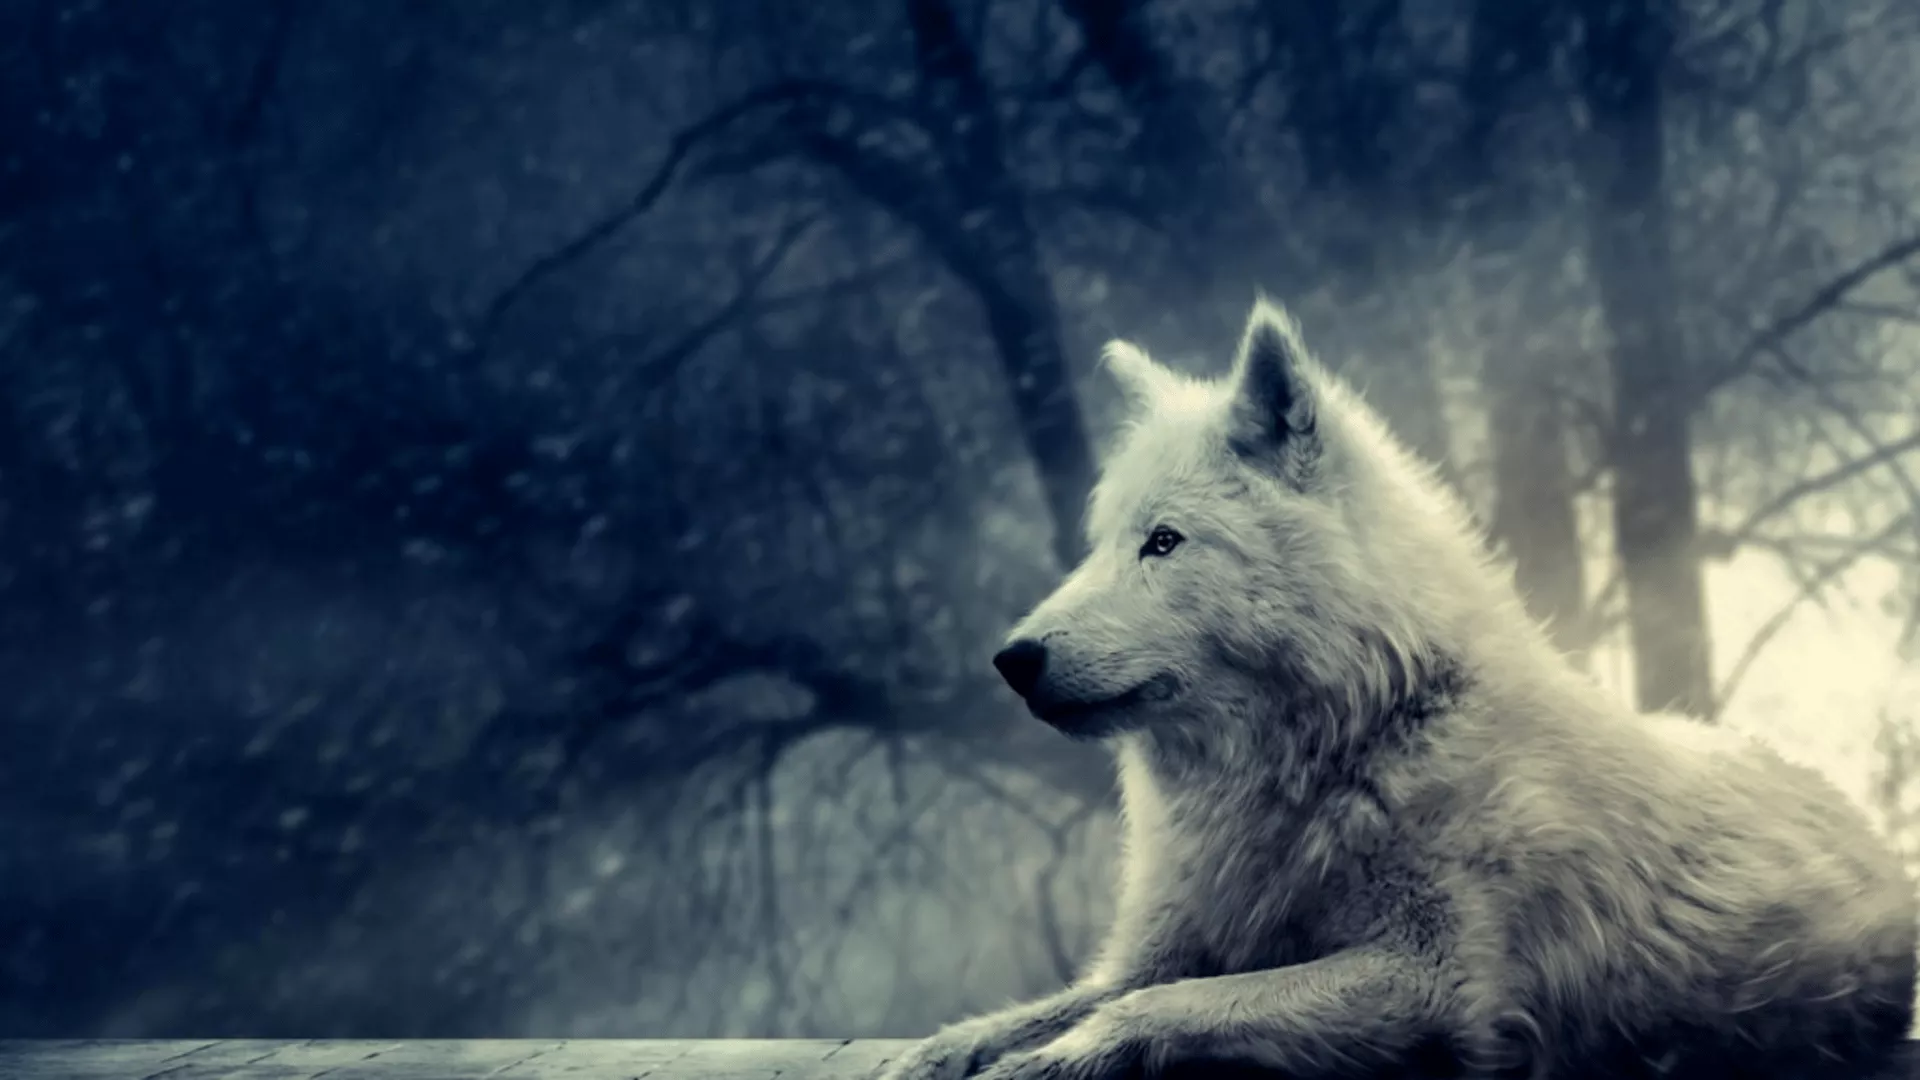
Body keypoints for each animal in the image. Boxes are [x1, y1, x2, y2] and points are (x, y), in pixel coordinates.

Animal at [879, 300, 1918, 1080]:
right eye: (1100, 545)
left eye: (1164, 542)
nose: (1012, 658)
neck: (1351, 742)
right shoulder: (1160, 947)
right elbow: (1038, 1010)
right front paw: (940, 1054)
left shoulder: (1435, 982)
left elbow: (1164, 1007)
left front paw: (1053, 1060)